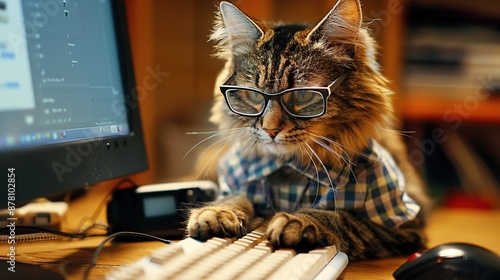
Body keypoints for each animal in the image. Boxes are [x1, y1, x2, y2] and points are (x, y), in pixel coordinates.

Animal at [187, 0, 430, 260]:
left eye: (302, 95)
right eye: (254, 96)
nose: (270, 130)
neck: (290, 168)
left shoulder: (402, 223)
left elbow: (338, 217)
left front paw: (296, 221)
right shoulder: (242, 180)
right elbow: (237, 196)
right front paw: (216, 212)